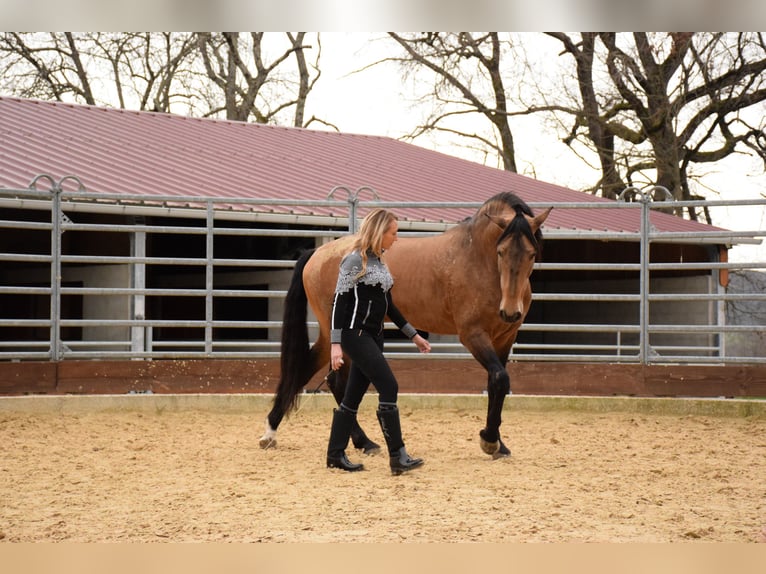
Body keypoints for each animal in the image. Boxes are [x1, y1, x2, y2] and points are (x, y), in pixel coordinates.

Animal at [260, 191, 548, 462]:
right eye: (501, 251)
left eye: (532, 254)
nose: (510, 311)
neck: (477, 259)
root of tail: (317, 254)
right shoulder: (472, 335)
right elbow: (500, 378)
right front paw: (488, 440)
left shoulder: (504, 338)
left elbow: (496, 382)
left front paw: (498, 443)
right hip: (340, 332)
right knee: (327, 379)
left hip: (330, 335)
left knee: (317, 375)